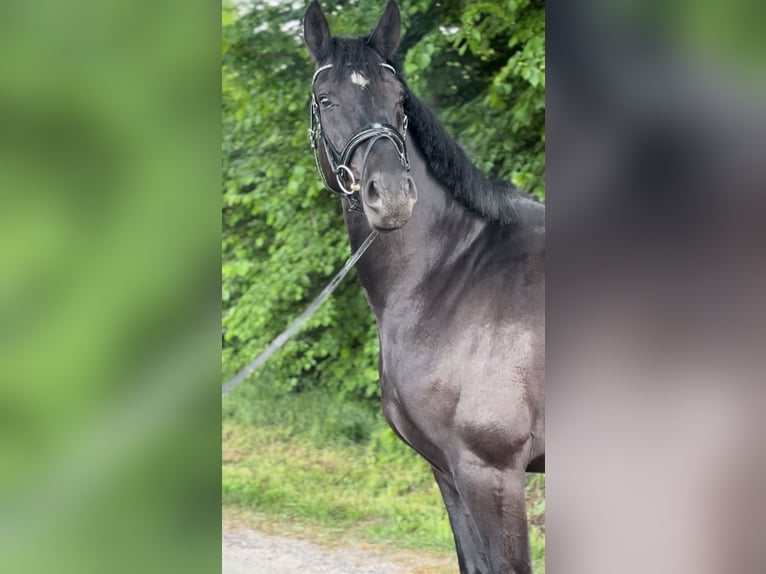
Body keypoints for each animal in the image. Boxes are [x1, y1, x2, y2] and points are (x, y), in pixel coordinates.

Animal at [303, 2, 544, 572]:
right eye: (326, 100)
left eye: (398, 100)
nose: (391, 196)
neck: (453, 274)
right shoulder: (447, 472)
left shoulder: (490, 473)